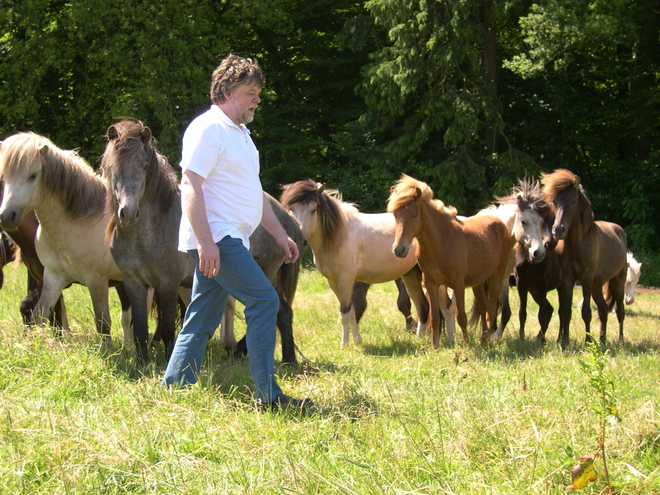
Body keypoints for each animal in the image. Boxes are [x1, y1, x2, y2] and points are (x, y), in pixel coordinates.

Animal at [0, 132, 125, 340]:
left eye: (33, 176)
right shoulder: (52, 277)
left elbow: (102, 322)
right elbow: (41, 314)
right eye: (3, 177)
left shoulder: (96, 281)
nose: (6, 216)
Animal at [386, 174, 510, 348]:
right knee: (484, 308)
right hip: (478, 283)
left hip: (496, 278)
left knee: (491, 310)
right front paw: (434, 347)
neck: (440, 242)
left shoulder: (458, 284)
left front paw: (466, 345)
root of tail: (500, 223)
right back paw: (483, 341)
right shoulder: (431, 284)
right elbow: (435, 317)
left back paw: (486, 344)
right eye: (395, 215)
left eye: (415, 215)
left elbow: (461, 316)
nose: (399, 249)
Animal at [540, 169, 628, 346]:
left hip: (618, 281)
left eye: (573, 201)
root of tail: (619, 231)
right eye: (554, 202)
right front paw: (564, 341)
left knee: (620, 311)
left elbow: (586, 312)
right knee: (603, 310)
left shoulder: (586, 278)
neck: (577, 244)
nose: (558, 230)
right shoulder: (567, 279)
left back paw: (620, 340)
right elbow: (566, 311)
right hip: (597, 285)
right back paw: (601, 339)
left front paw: (587, 342)